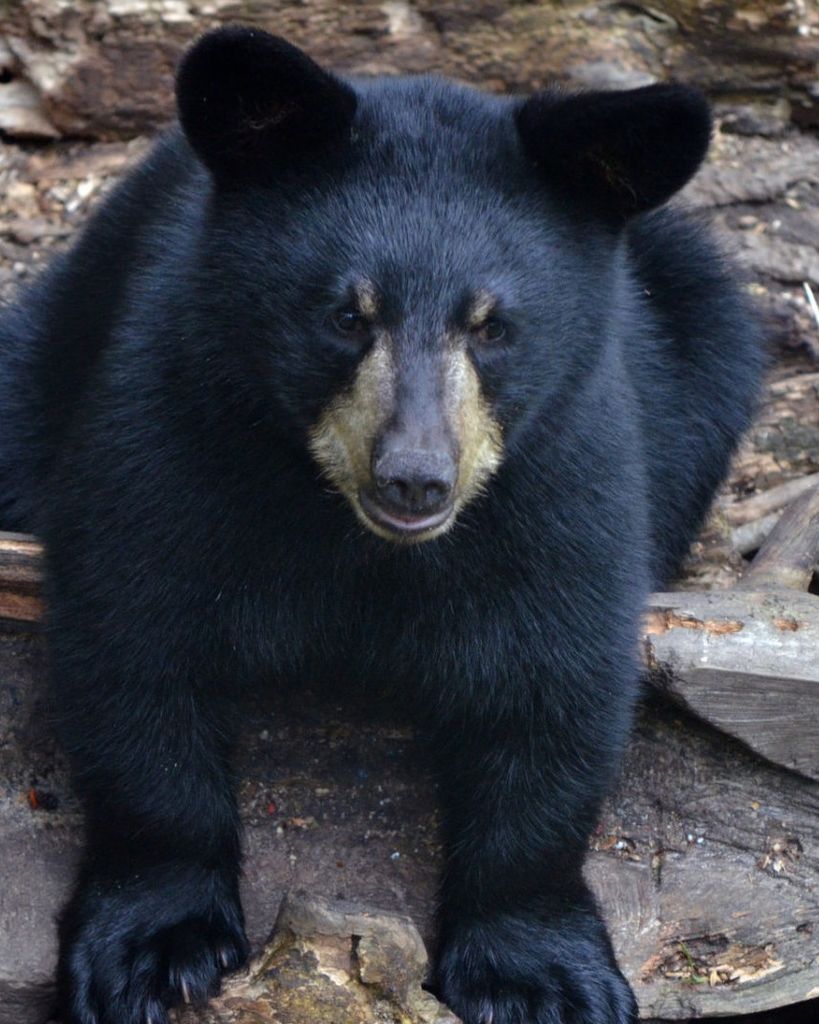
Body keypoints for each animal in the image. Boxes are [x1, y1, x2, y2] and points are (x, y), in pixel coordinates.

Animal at [0, 26, 765, 1024]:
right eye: (344, 314)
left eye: (493, 326)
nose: (413, 480)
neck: (357, 537)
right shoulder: (173, 415)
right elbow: (136, 643)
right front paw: (153, 949)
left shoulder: (567, 465)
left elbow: (552, 685)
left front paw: (538, 974)